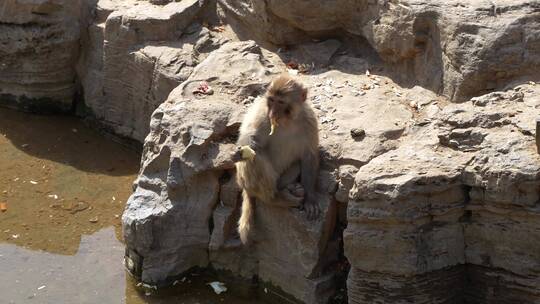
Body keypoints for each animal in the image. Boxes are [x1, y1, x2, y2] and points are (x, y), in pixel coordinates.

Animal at [232, 75, 320, 243]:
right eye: (271, 100)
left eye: (281, 102)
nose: (273, 113)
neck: (287, 121)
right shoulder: (262, 114)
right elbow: (247, 139)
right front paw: (244, 150)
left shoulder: (310, 120)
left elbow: (309, 157)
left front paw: (310, 199)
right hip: (247, 182)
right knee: (255, 159)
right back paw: (275, 198)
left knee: (296, 165)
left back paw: (291, 189)